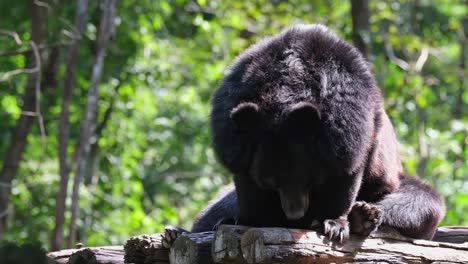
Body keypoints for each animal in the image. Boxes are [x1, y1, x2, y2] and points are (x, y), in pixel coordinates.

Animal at [188, 24, 444, 241]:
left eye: (310, 180)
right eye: (270, 183)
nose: (294, 214)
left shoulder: (350, 121)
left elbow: (346, 173)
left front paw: (335, 224)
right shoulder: (232, 129)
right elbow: (245, 183)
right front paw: (250, 219)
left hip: (390, 180)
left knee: (419, 202)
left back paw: (364, 216)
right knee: (211, 212)